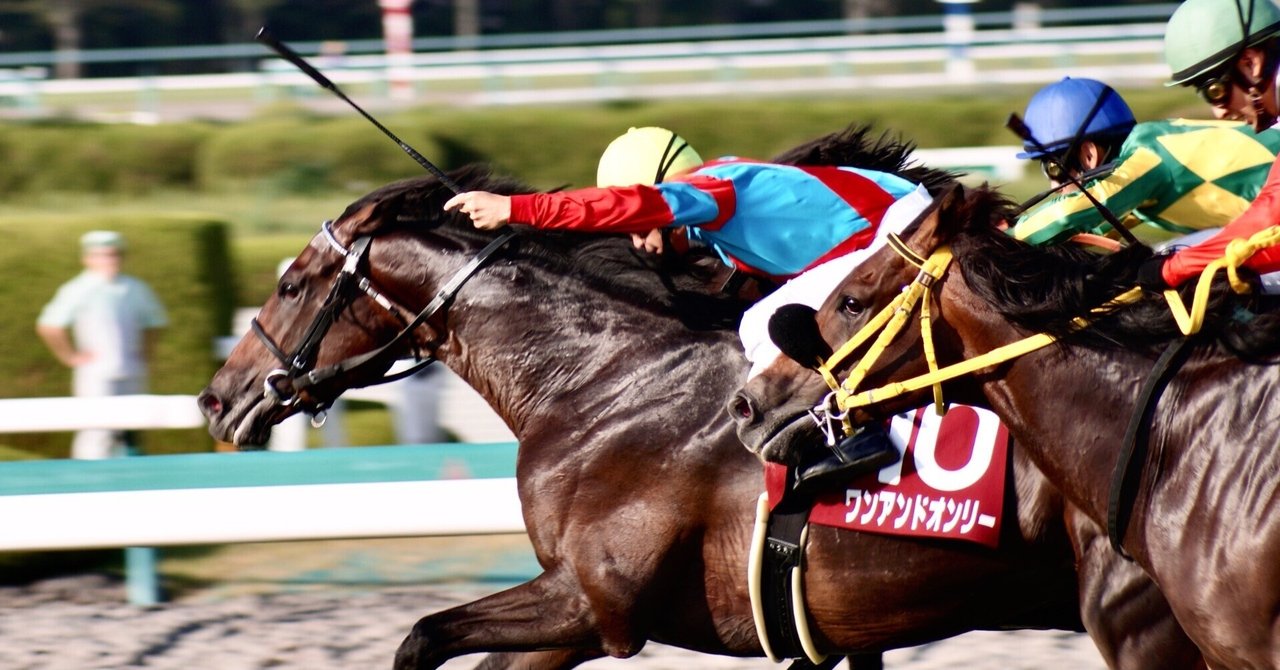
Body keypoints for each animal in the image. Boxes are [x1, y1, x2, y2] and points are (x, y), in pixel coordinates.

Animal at [197, 132, 1177, 669]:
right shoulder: (577, 611)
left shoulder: (601, 601)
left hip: (1134, 610)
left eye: (289, 282)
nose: (214, 399)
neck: (598, 381)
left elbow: (421, 637)